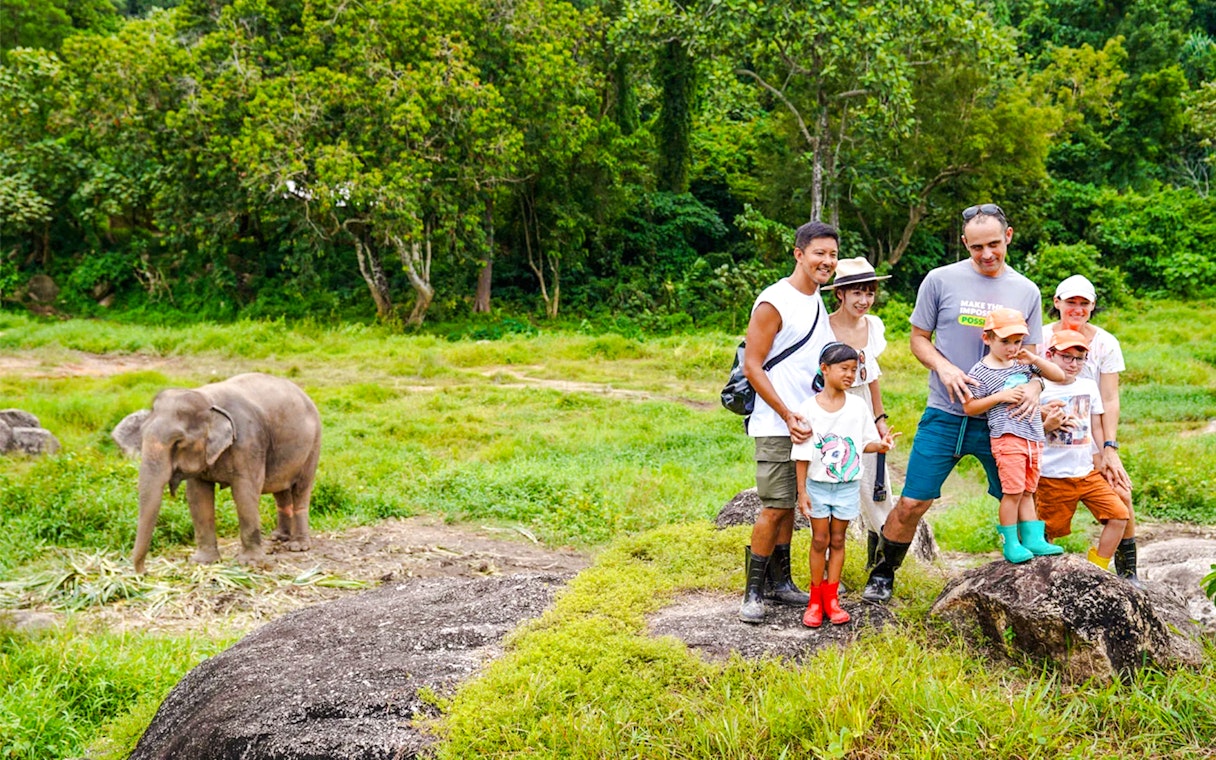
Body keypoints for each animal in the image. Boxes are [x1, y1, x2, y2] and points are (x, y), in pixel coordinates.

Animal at [115, 373, 322, 573]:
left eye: (178, 442)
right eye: (141, 436)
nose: (144, 572)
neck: (207, 399)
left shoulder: (248, 443)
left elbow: (244, 493)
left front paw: (250, 564)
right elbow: (198, 497)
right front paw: (203, 562)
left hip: (313, 445)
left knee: (301, 490)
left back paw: (298, 546)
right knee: (281, 490)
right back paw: (278, 537)